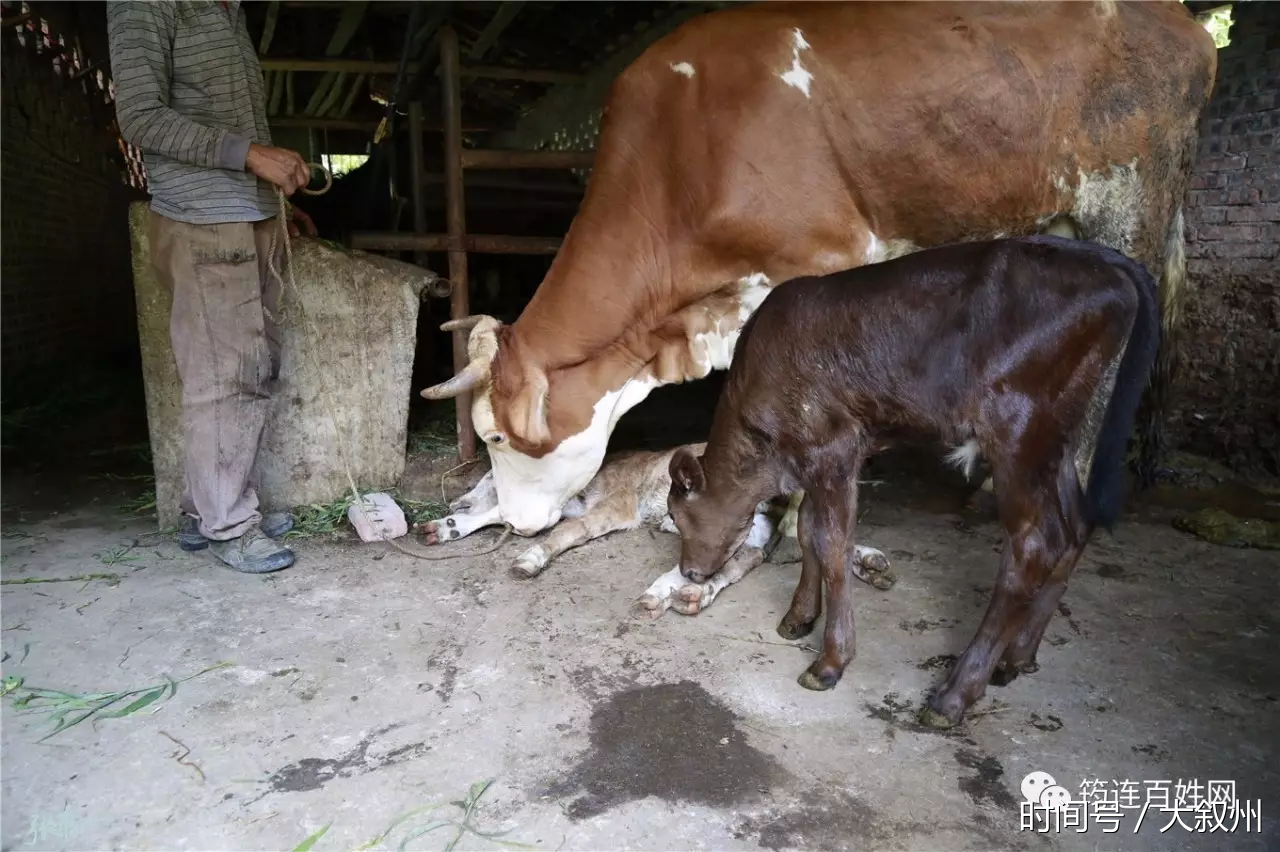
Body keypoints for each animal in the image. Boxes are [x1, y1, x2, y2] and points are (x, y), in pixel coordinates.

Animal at [422, 0, 1218, 550]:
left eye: (495, 438)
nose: (513, 522)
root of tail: (1185, 23)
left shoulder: (827, 260)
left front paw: (798, 512)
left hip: (1130, 198)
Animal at [670, 235, 1162, 726]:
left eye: (679, 515)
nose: (689, 570)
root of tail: (1108, 262)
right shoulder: (815, 457)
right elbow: (808, 531)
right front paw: (799, 617)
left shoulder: (833, 448)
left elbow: (832, 545)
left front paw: (830, 662)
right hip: (1055, 434)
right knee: (1075, 525)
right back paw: (1016, 658)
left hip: (1017, 426)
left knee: (1034, 545)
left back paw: (954, 695)